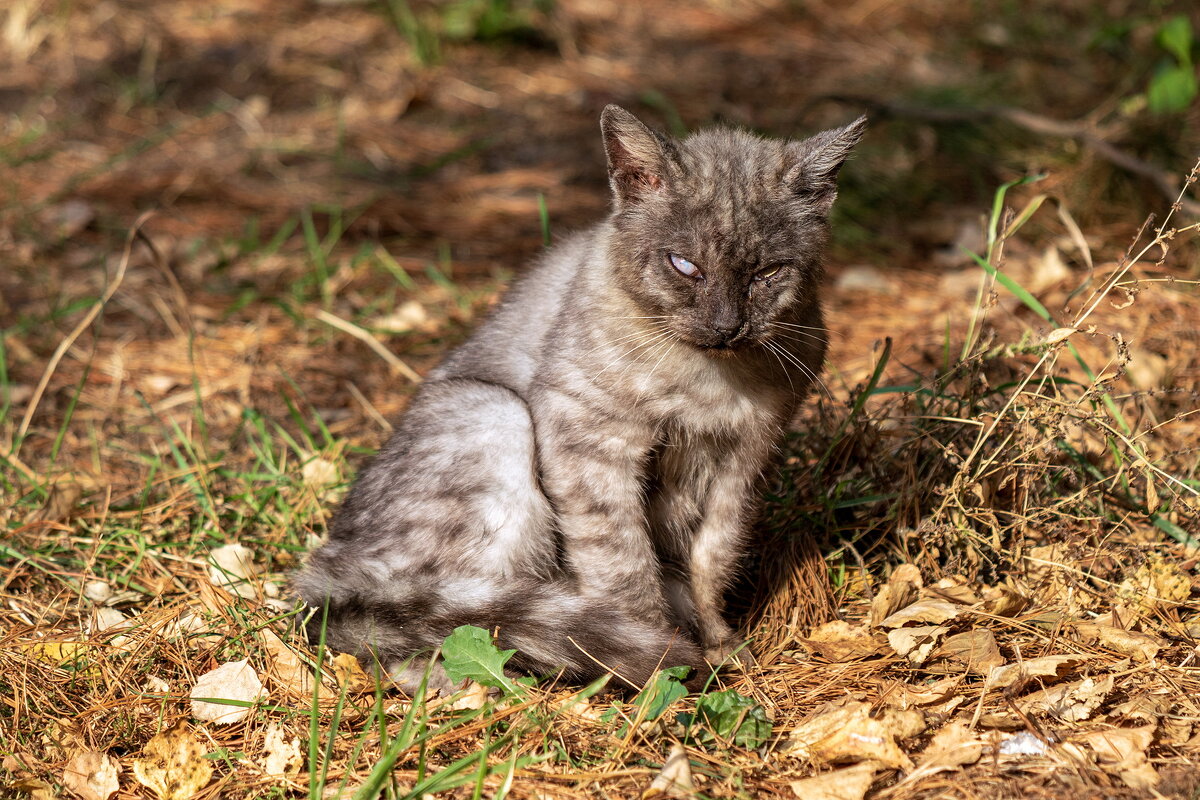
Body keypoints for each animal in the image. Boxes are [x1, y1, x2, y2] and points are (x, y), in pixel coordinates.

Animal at [295, 106, 868, 695]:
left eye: (768, 272)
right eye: (684, 265)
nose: (725, 326)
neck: (709, 383)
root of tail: (328, 567)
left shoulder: (746, 460)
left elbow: (713, 559)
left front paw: (718, 643)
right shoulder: (589, 438)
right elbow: (622, 564)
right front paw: (663, 664)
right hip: (493, 419)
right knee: (428, 626)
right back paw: (495, 684)